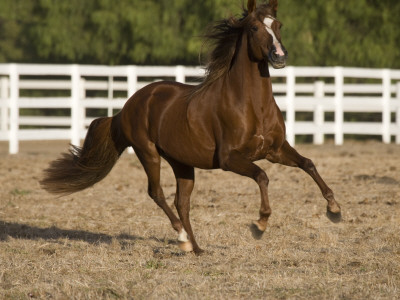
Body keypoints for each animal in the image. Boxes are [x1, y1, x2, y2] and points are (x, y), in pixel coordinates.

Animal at [40, 0, 340, 255]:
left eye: (278, 25)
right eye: (255, 27)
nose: (279, 56)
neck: (253, 105)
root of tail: (127, 107)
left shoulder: (275, 150)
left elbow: (308, 163)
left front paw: (334, 209)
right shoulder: (230, 159)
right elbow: (262, 176)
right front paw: (260, 224)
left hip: (182, 163)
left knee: (181, 203)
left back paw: (196, 249)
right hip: (148, 153)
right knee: (157, 193)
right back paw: (183, 240)